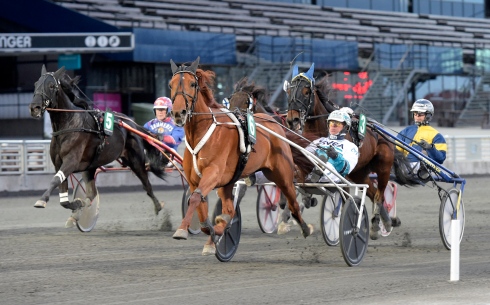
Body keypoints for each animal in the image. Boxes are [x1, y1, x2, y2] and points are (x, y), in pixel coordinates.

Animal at [30, 66, 170, 216]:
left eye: (51, 86)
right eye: (35, 84)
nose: (34, 108)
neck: (69, 124)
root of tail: (131, 124)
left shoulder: (71, 161)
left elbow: (55, 179)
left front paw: (42, 200)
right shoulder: (59, 164)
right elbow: (63, 198)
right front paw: (77, 203)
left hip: (136, 161)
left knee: (147, 185)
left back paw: (158, 206)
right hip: (90, 167)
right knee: (91, 193)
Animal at [170, 57, 312, 254]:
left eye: (192, 84)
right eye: (171, 84)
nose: (178, 113)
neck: (201, 132)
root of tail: (274, 123)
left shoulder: (213, 173)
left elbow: (196, 198)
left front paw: (182, 230)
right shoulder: (194, 181)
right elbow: (200, 206)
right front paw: (210, 232)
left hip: (282, 174)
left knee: (292, 201)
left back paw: (304, 227)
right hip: (229, 182)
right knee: (230, 209)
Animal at [284, 63, 418, 238]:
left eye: (306, 92)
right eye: (289, 91)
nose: (292, 119)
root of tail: (381, 132)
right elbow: (301, 176)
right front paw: (306, 197)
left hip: (383, 167)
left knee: (379, 195)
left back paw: (377, 223)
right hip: (359, 172)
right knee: (372, 191)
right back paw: (386, 221)